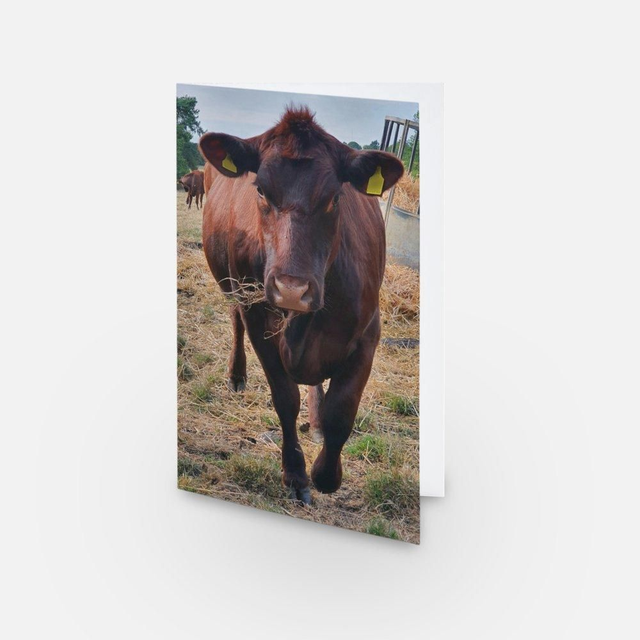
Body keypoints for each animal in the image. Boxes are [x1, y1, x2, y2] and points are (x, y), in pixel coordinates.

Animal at [198, 107, 403, 504]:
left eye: (335, 197)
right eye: (260, 190)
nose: (292, 290)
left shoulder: (368, 333)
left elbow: (341, 410)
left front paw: (326, 474)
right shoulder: (258, 320)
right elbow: (284, 398)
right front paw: (295, 474)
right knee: (234, 320)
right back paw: (236, 375)